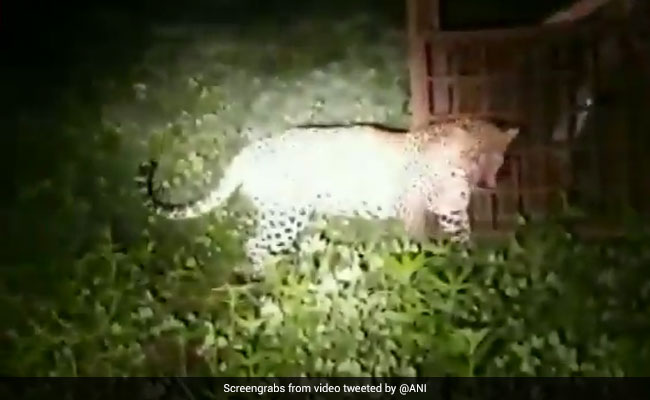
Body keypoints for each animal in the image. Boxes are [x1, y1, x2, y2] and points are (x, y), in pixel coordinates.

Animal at [138, 118, 518, 271]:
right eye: (474, 157)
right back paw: (272, 278)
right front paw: (425, 264)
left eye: (497, 159)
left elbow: (463, 236)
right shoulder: (412, 208)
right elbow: (419, 238)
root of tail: (247, 151)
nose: (487, 184)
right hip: (284, 216)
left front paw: (470, 264)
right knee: (254, 245)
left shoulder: (452, 210)